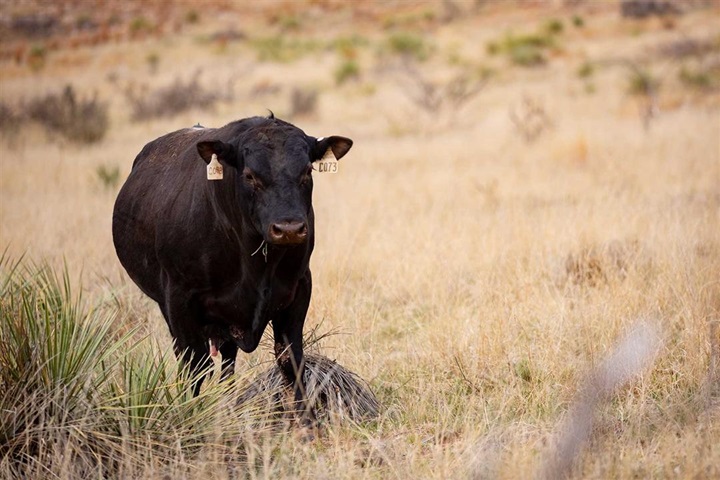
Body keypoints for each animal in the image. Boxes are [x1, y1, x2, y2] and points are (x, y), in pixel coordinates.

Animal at [111, 115, 352, 408]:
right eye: (249, 176)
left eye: (307, 171)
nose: (289, 229)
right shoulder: (179, 299)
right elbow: (194, 366)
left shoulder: (299, 289)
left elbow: (291, 360)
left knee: (227, 363)